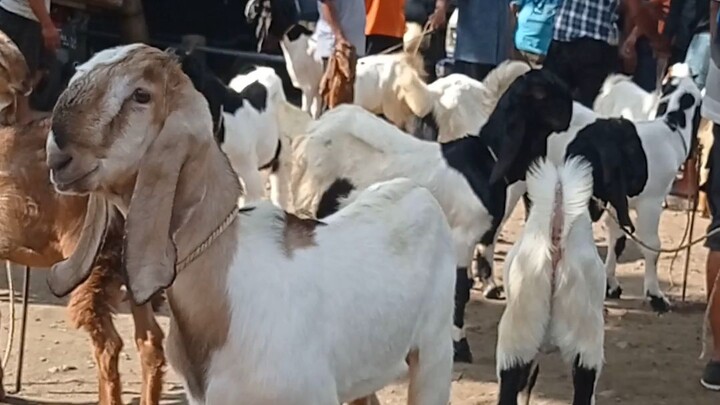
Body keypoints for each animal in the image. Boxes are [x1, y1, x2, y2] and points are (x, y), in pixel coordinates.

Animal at [492, 70, 700, 312]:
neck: (669, 130)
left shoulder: (619, 202)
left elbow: (618, 239)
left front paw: (611, 284)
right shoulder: (652, 202)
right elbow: (652, 246)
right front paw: (655, 296)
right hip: (511, 181)